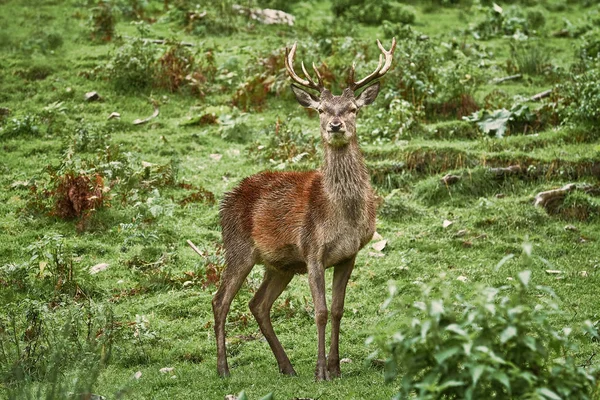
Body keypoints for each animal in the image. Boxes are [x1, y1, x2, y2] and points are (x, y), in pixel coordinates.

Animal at [213, 37, 396, 382]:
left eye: (353, 109)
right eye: (321, 110)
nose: (335, 125)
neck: (343, 214)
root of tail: (227, 198)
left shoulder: (349, 254)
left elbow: (337, 310)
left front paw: (336, 367)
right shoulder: (312, 250)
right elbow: (320, 312)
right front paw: (321, 371)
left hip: (280, 265)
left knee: (258, 304)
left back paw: (287, 367)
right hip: (238, 248)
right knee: (220, 301)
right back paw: (223, 368)